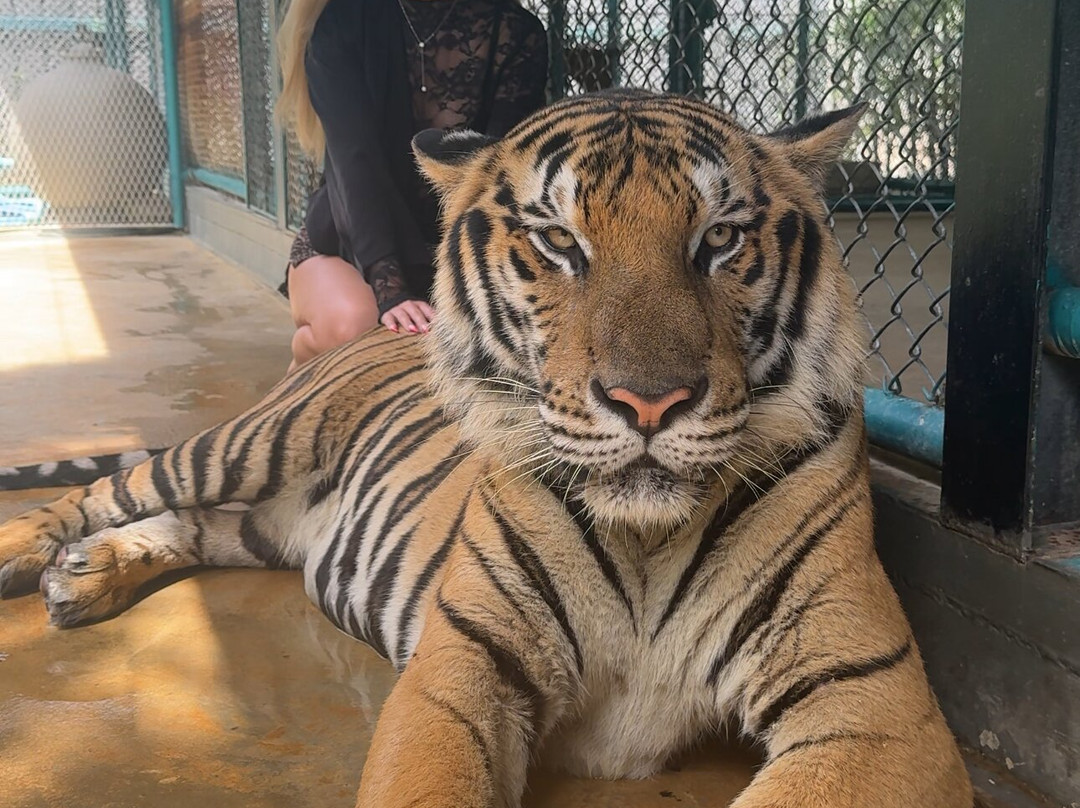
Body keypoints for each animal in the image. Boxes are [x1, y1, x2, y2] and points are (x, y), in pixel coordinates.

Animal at [0, 90, 974, 808]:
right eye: (559, 241)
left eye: (720, 239)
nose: (648, 402)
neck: (648, 540)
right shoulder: (457, 670)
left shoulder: (873, 703)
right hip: (258, 441)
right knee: (117, 487)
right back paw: (32, 555)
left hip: (268, 525)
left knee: (193, 524)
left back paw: (85, 575)